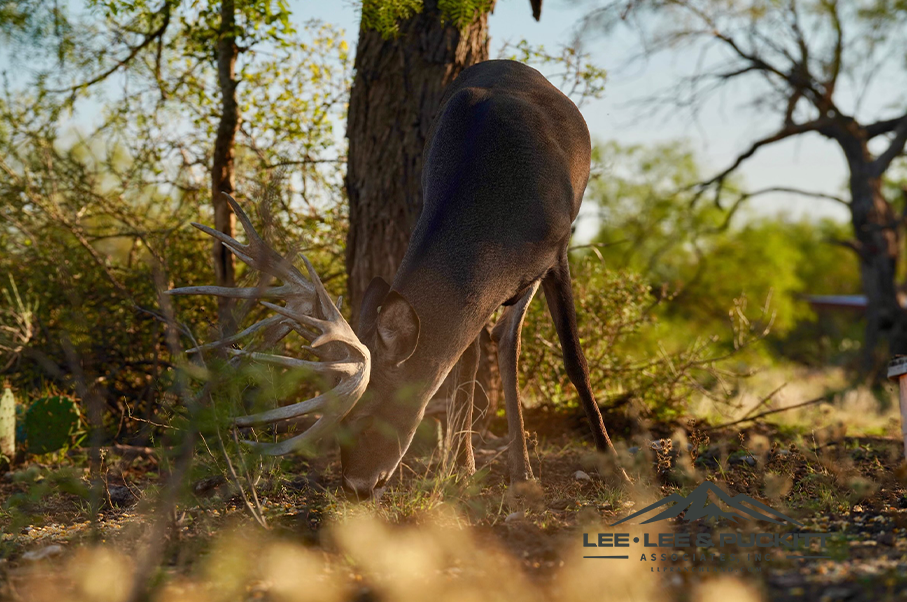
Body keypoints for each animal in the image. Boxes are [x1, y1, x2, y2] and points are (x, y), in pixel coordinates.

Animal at [170, 59, 624, 496]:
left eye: (368, 416)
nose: (355, 487)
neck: (498, 217)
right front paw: (458, 470)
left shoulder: (558, 248)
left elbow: (574, 360)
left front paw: (615, 470)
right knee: (476, 349)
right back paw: (465, 464)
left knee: (505, 341)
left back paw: (519, 470)